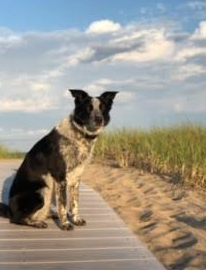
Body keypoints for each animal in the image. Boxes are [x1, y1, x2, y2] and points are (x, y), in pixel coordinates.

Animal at [5, 89, 117, 229]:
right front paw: (65, 224)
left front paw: (76, 219)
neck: (80, 135)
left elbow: (74, 203)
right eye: (88, 108)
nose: (99, 119)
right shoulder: (60, 178)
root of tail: (9, 210)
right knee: (17, 219)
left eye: (103, 108)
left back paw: (49, 215)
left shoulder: (76, 178)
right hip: (41, 192)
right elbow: (63, 205)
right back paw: (37, 223)